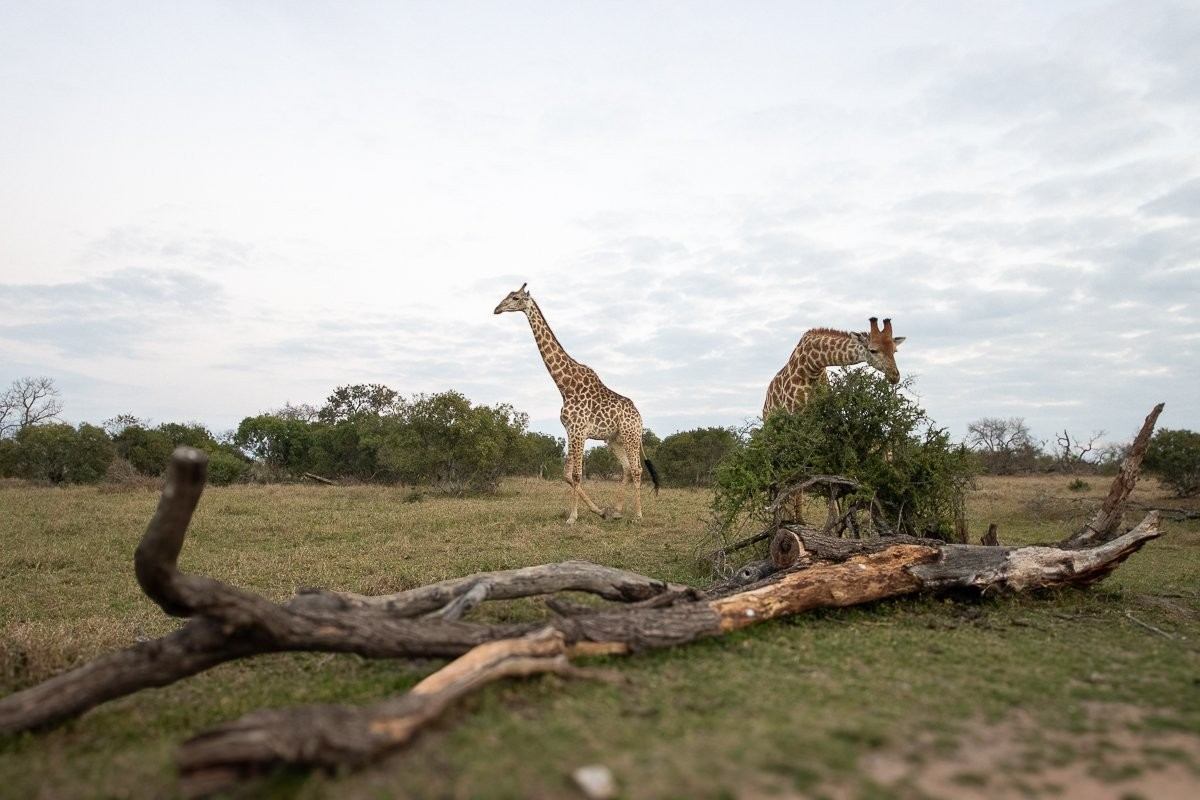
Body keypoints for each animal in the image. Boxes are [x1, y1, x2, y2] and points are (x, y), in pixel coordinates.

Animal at [494, 283, 660, 523]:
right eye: (507, 295)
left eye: (515, 298)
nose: (496, 309)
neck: (565, 386)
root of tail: (639, 416)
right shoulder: (571, 431)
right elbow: (566, 474)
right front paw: (599, 511)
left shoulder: (579, 431)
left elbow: (576, 474)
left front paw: (572, 517)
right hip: (614, 440)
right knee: (627, 468)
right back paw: (617, 511)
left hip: (631, 436)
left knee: (637, 469)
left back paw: (638, 515)